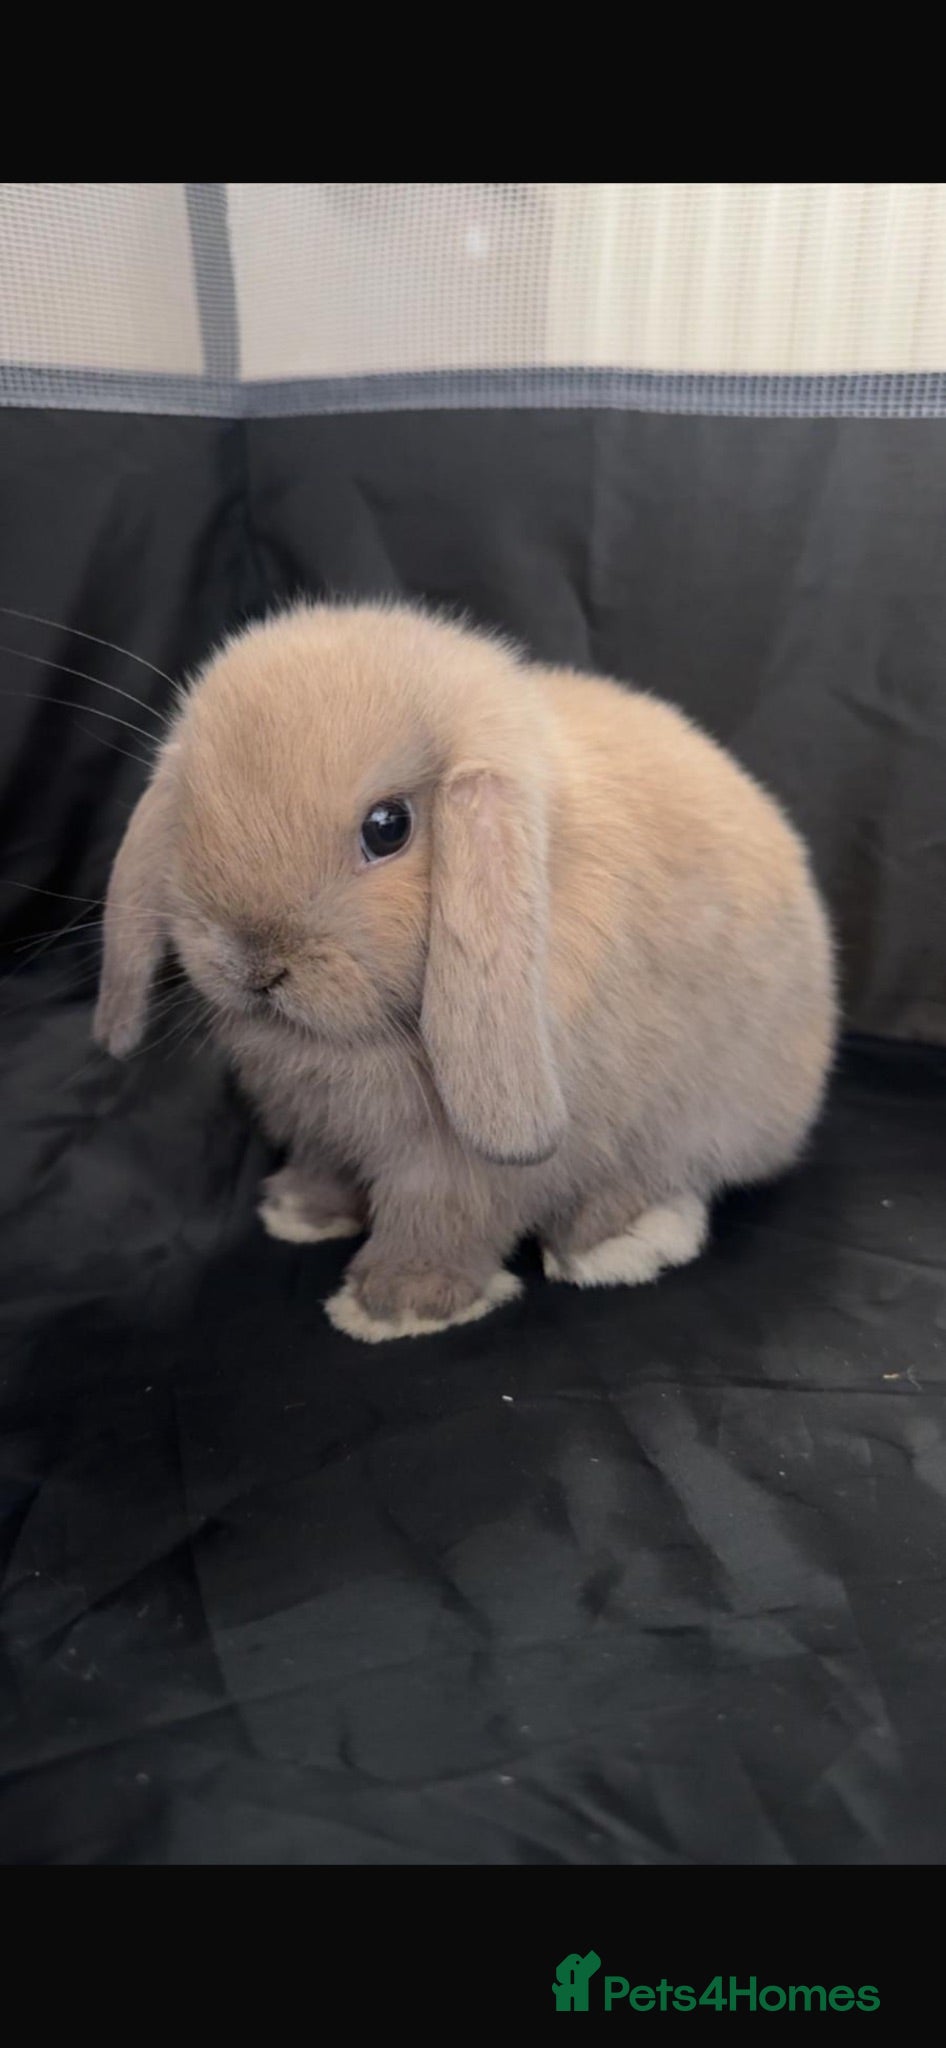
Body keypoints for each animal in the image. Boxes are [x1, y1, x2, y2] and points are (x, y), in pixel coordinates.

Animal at [94, 602, 837, 1343]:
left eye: (388, 827)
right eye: (193, 808)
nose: (253, 962)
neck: (352, 1040)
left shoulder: (461, 1164)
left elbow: (444, 1218)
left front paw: (396, 1303)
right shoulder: (318, 1124)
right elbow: (327, 1165)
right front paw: (302, 1211)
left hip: (705, 1115)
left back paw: (613, 1242)